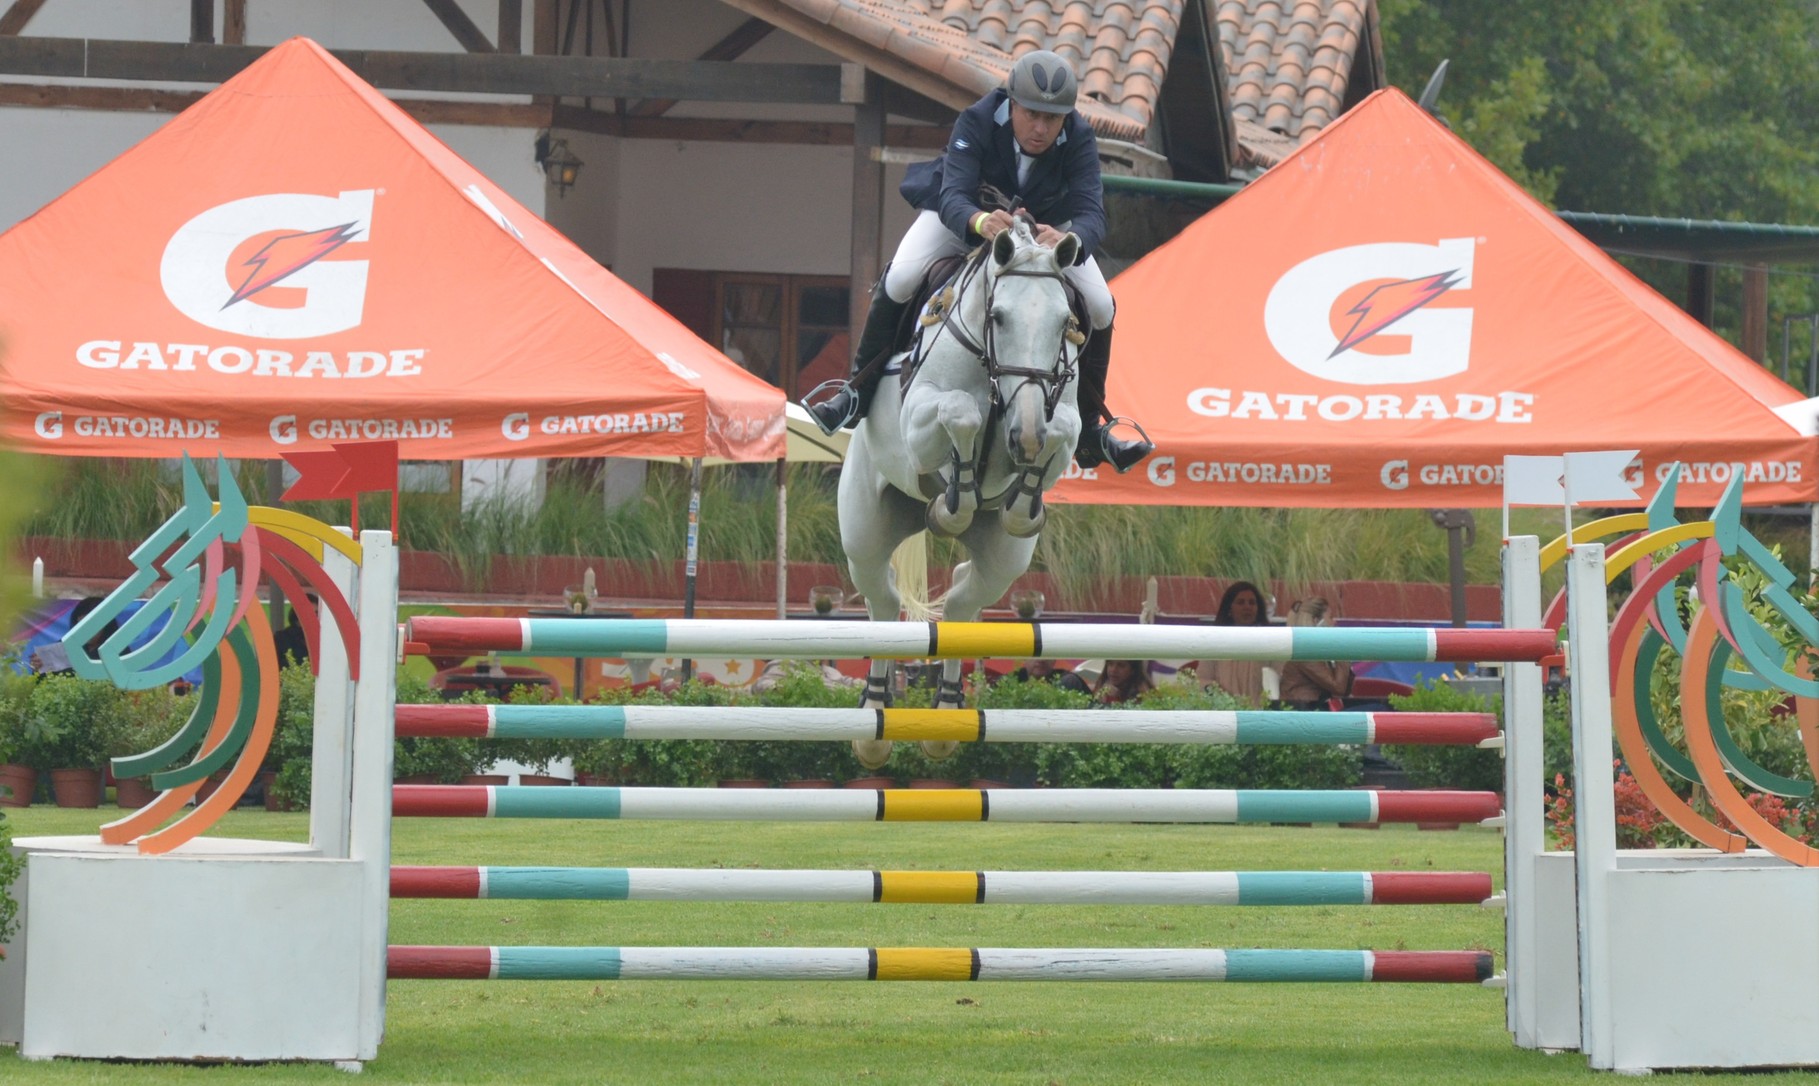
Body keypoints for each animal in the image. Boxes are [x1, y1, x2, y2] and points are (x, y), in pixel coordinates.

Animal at [836, 218, 1076, 764]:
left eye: (1064, 323)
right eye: (999, 317)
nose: (1025, 436)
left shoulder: (1056, 419)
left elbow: (1061, 429)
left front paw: (1019, 500)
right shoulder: (920, 421)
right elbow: (960, 412)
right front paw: (954, 503)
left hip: (1004, 560)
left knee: (963, 603)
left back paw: (944, 718)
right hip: (864, 533)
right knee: (883, 601)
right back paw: (872, 724)